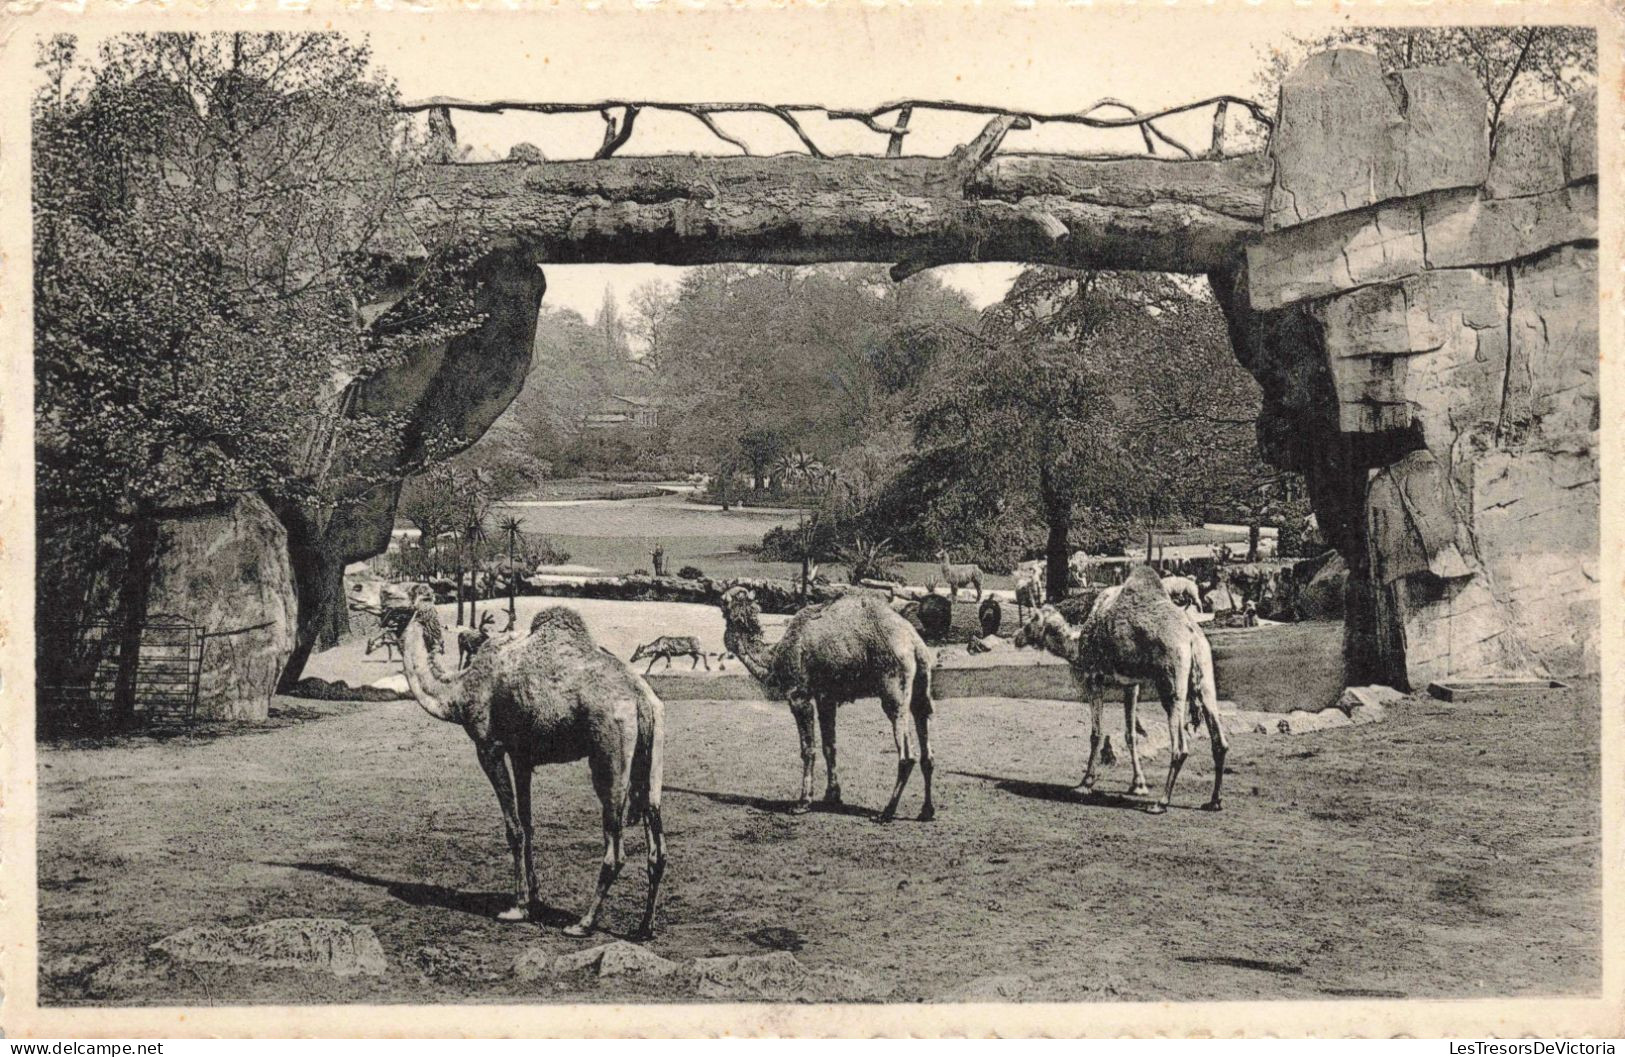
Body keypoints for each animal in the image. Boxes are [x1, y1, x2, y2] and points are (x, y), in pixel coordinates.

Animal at [396, 598, 669, 936]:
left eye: (392, 601)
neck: (458, 692)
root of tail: (641, 699)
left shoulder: (489, 747)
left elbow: (513, 829)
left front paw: (516, 907)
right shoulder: (522, 755)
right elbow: (528, 824)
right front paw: (534, 899)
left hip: (610, 754)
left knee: (616, 849)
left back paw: (583, 923)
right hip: (652, 753)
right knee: (657, 842)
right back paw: (645, 927)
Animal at [718, 588, 936, 819]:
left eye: (722, 608)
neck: (774, 656)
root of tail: (914, 642)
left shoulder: (799, 695)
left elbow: (808, 749)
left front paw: (803, 802)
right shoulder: (826, 698)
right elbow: (829, 746)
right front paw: (832, 796)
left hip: (894, 686)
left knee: (906, 752)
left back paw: (886, 812)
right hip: (922, 683)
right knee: (925, 737)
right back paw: (926, 811)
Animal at [1007, 562, 1222, 809]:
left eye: (1032, 620)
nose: (1016, 637)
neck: (1079, 646)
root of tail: (1191, 636)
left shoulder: (1093, 679)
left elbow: (1096, 733)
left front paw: (1085, 782)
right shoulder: (1131, 685)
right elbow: (1131, 735)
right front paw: (1138, 784)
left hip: (1171, 680)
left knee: (1180, 746)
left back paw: (1161, 802)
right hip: (1205, 673)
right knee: (1219, 738)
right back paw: (1214, 801)